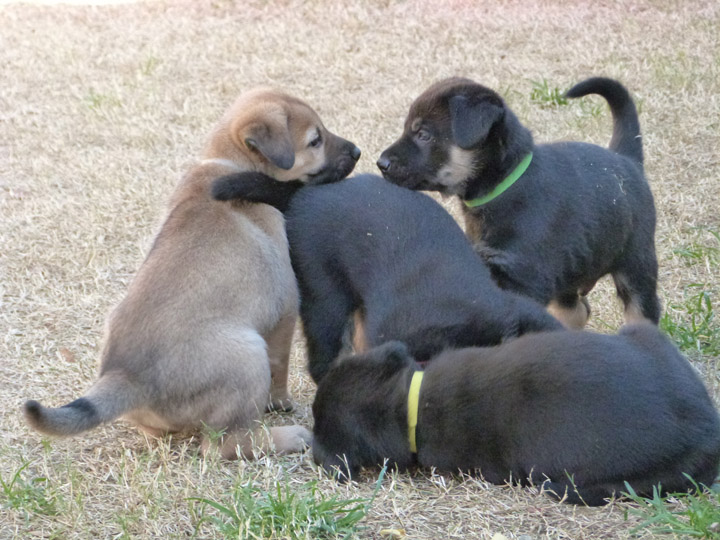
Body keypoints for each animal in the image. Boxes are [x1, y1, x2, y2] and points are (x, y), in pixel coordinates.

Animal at [22, 86, 360, 458]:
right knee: (226, 443)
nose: (358, 152)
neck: (229, 164)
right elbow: (280, 367)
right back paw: (288, 436)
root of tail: (127, 376)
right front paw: (281, 402)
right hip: (248, 355)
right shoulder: (284, 312)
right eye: (315, 140)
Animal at [380, 76, 660, 330]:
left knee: (641, 311)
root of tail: (626, 158)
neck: (505, 185)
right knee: (577, 310)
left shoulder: (523, 276)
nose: (380, 163)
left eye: (423, 135)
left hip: (636, 264)